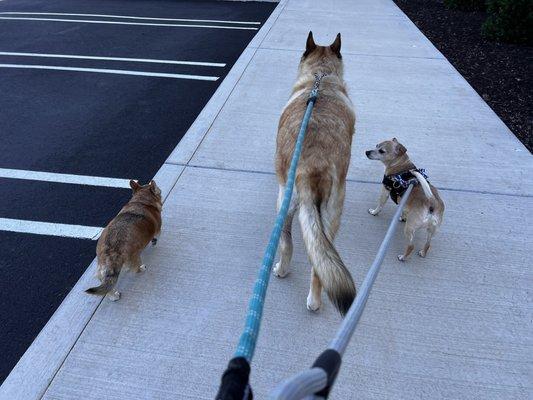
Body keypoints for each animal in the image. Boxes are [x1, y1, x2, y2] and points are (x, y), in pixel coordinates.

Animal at [272, 31, 356, 316]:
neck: (320, 77)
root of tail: (312, 167)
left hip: (284, 202)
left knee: (287, 244)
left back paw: (281, 269)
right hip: (330, 216)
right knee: (320, 263)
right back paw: (315, 300)